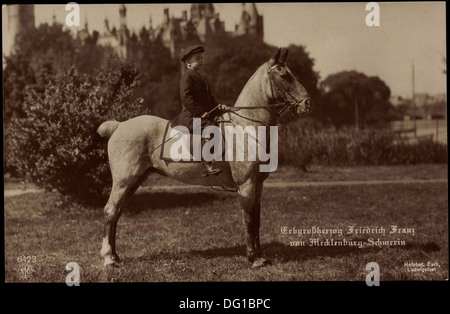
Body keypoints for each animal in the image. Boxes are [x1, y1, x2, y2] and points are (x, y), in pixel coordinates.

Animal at [96, 47, 312, 268]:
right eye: (284, 76)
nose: (307, 102)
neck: (246, 127)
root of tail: (119, 125)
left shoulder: (258, 185)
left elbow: (257, 220)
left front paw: (260, 255)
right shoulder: (247, 184)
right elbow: (249, 220)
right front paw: (253, 258)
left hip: (133, 181)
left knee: (117, 213)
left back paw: (115, 256)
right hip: (123, 181)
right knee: (110, 211)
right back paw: (108, 258)